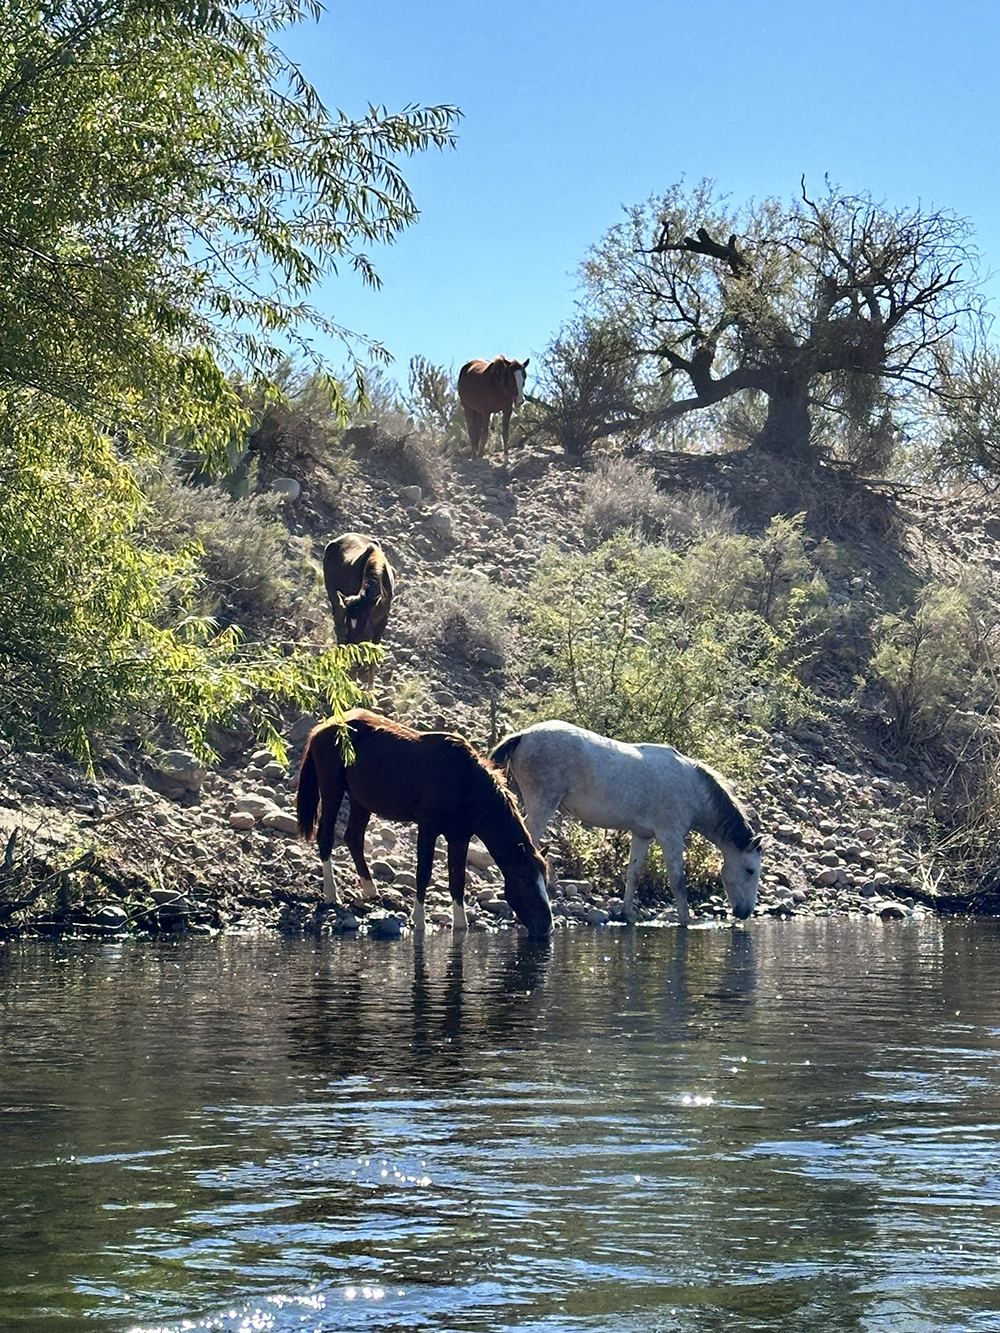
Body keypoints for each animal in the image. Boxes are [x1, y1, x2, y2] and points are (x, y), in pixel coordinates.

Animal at [296, 709, 557, 938]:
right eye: (526, 880)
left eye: (545, 881)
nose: (547, 927)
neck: (465, 783)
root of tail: (323, 726)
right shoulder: (428, 828)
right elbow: (423, 873)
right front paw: (419, 921)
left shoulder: (459, 836)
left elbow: (457, 880)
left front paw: (460, 926)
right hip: (332, 788)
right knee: (326, 837)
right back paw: (332, 895)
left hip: (361, 800)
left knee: (353, 837)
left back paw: (370, 891)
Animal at [325, 535, 394, 693]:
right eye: (349, 626)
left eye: (365, 629)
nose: (354, 663)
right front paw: (353, 678)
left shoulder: (382, 622)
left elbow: (374, 651)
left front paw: (370, 686)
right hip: (333, 596)